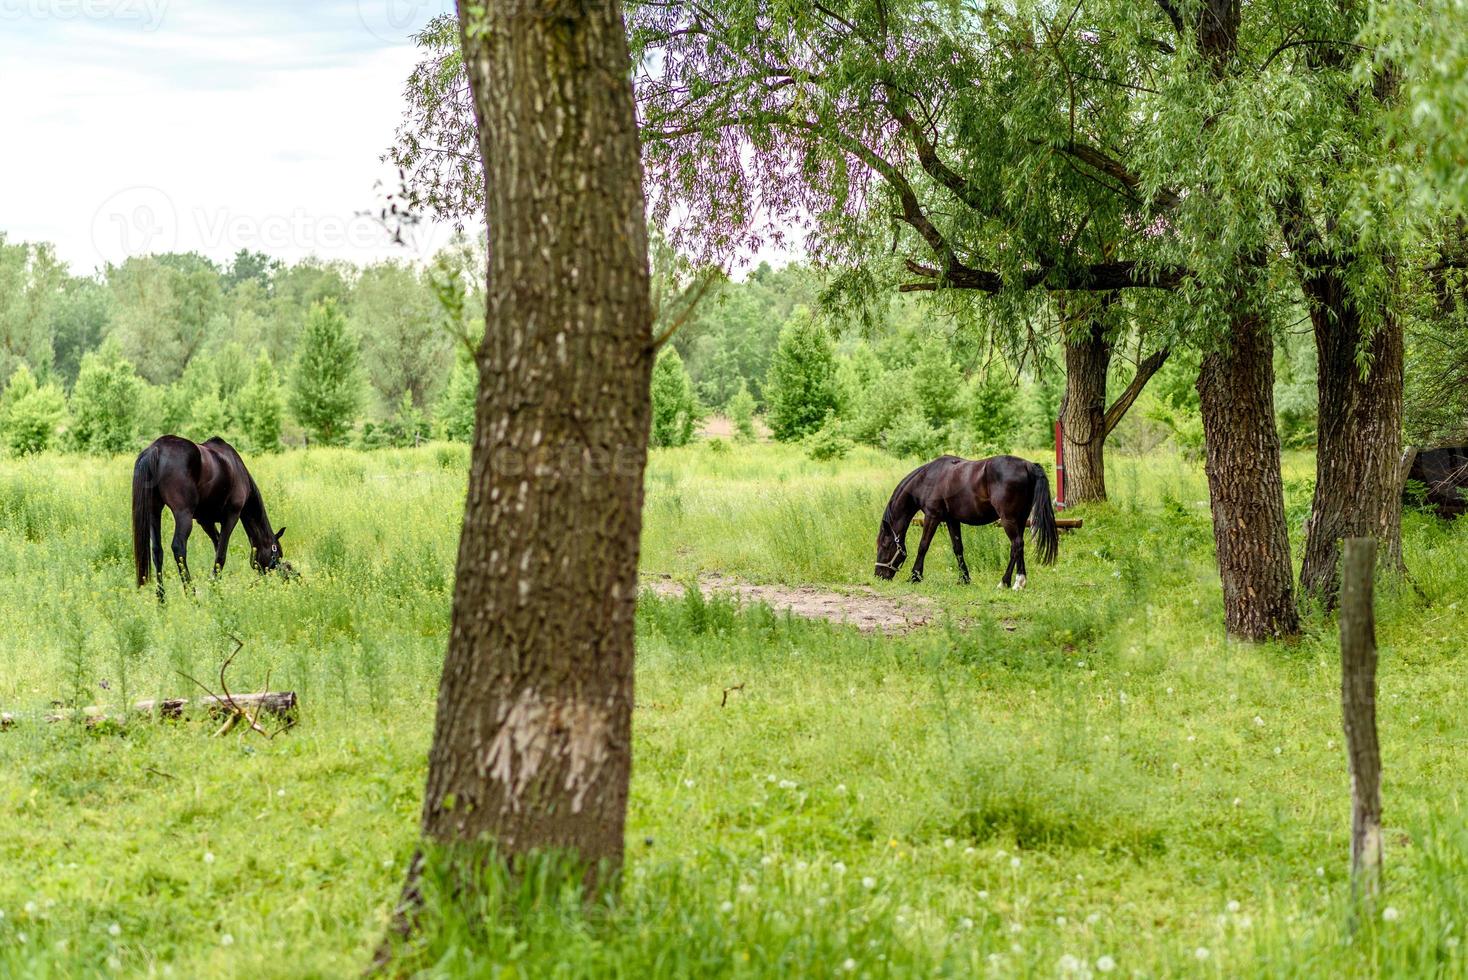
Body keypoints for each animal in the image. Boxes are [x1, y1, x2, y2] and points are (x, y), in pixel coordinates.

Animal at [133, 437, 284, 598]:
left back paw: (161, 598)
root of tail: (157, 448)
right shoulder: (231, 517)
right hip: (183, 514)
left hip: (154, 511)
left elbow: (217, 547)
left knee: (157, 551)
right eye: (277, 555)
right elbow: (221, 554)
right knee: (178, 548)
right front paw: (215, 590)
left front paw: (216, 586)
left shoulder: (205, 521)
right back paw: (191, 594)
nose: (275, 578)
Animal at [869, 454, 1056, 586]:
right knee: (1017, 547)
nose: (879, 575)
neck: (927, 479)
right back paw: (1015, 582)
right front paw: (964, 579)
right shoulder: (952, 520)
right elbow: (958, 548)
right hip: (1020, 519)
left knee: (1016, 545)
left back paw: (1009, 582)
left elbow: (923, 546)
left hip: (1008, 519)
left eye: (884, 545)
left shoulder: (932, 516)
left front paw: (915, 576)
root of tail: (1028, 465)